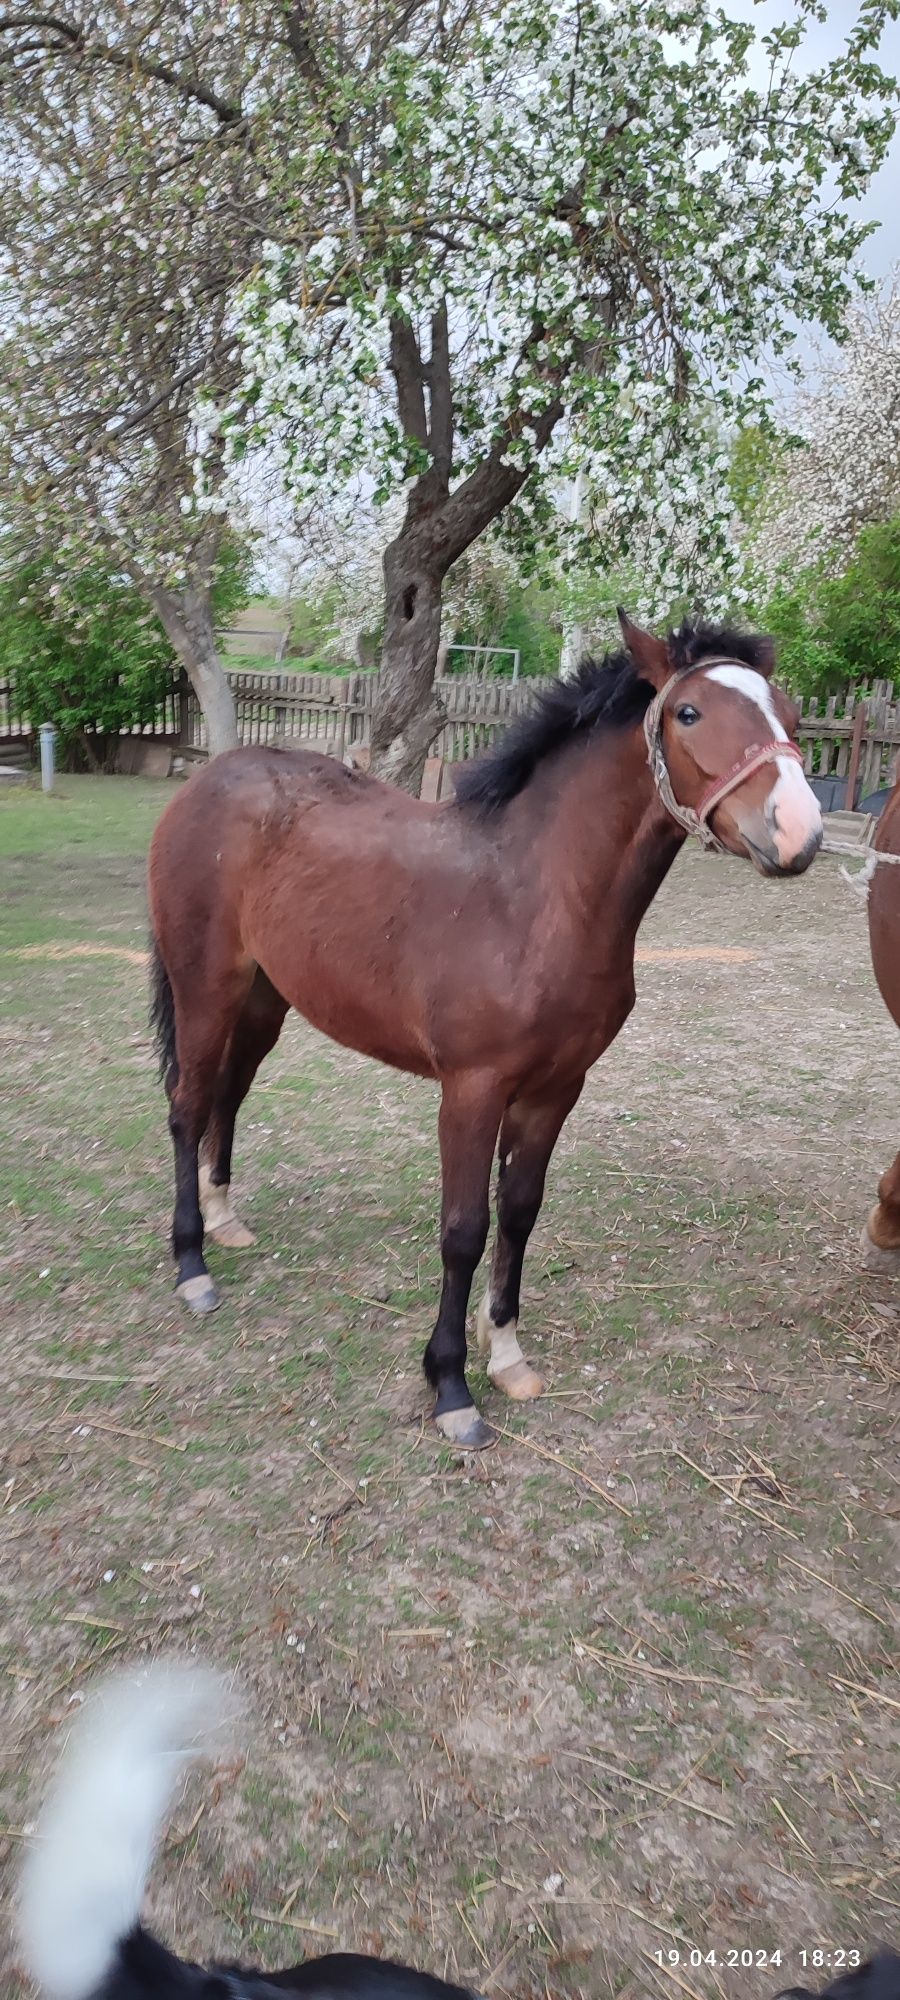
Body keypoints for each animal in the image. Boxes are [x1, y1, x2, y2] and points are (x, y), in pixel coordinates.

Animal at [149, 616, 824, 1448]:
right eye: (689, 713)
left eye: (790, 713)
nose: (798, 833)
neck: (532, 901)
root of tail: (209, 780)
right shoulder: (471, 1091)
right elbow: (465, 1229)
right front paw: (451, 1387)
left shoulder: (555, 1091)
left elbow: (521, 1215)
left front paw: (505, 1355)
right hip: (204, 990)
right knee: (187, 1105)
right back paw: (193, 1267)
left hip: (262, 1001)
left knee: (228, 1095)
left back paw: (225, 1221)